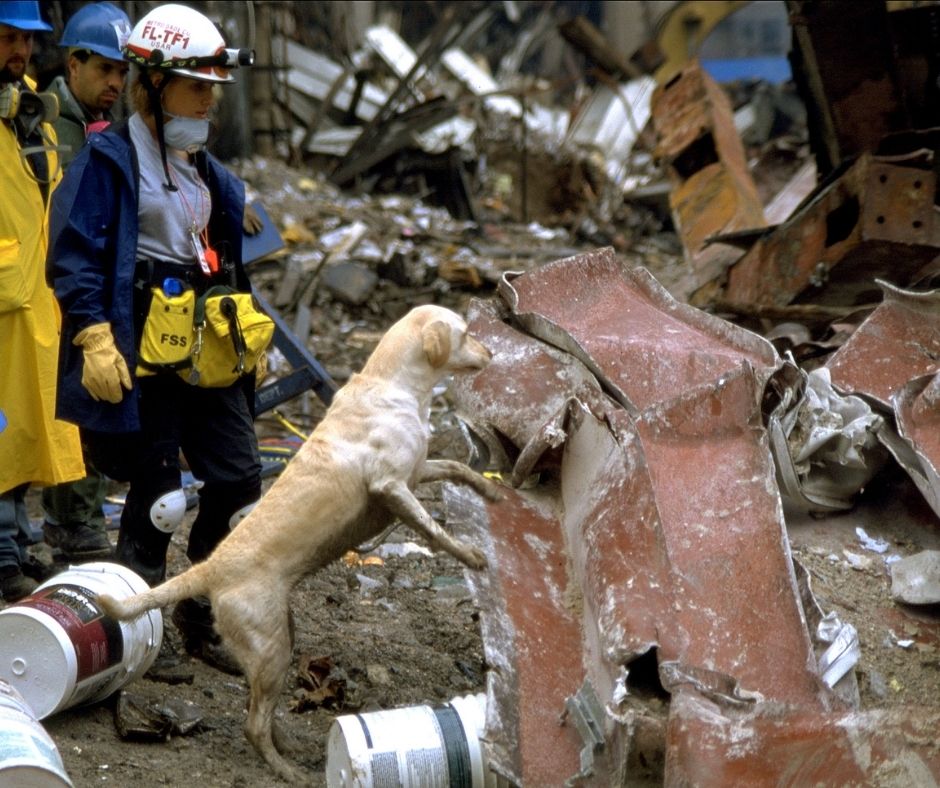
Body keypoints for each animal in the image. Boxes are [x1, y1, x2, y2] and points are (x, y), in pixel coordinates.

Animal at [100, 304, 504, 784]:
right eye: (466, 333)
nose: (491, 353)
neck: (396, 386)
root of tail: (209, 568)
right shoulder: (391, 487)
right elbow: (433, 529)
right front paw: (471, 555)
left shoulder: (417, 471)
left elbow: (460, 469)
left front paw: (493, 489)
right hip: (272, 648)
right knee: (253, 724)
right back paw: (287, 769)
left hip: (277, 641)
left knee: (258, 709)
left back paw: (289, 745)